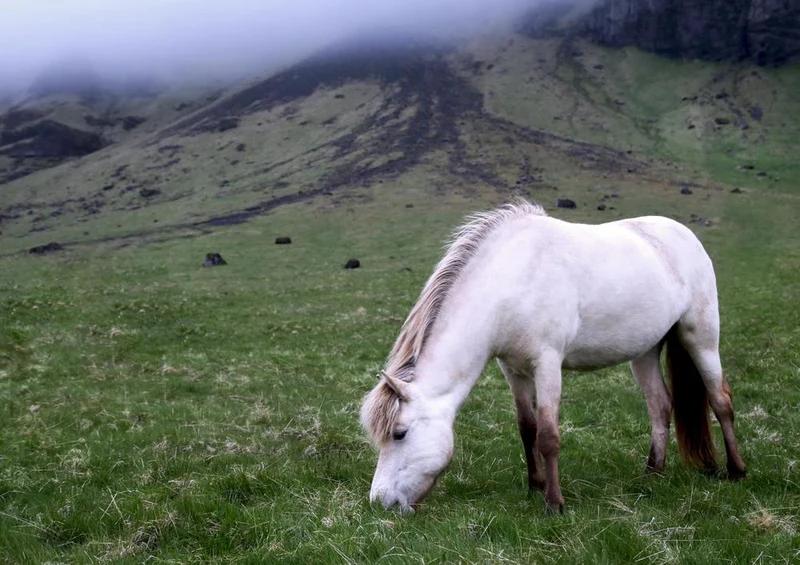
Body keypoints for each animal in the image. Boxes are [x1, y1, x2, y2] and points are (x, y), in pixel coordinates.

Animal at [360, 200, 746, 513]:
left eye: (399, 434)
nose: (380, 502)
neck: (511, 281)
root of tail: (683, 234)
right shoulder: (512, 369)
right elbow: (527, 428)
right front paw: (535, 486)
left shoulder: (546, 364)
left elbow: (548, 436)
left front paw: (554, 503)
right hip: (645, 352)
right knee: (660, 406)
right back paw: (653, 473)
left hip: (701, 337)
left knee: (720, 400)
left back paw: (736, 470)